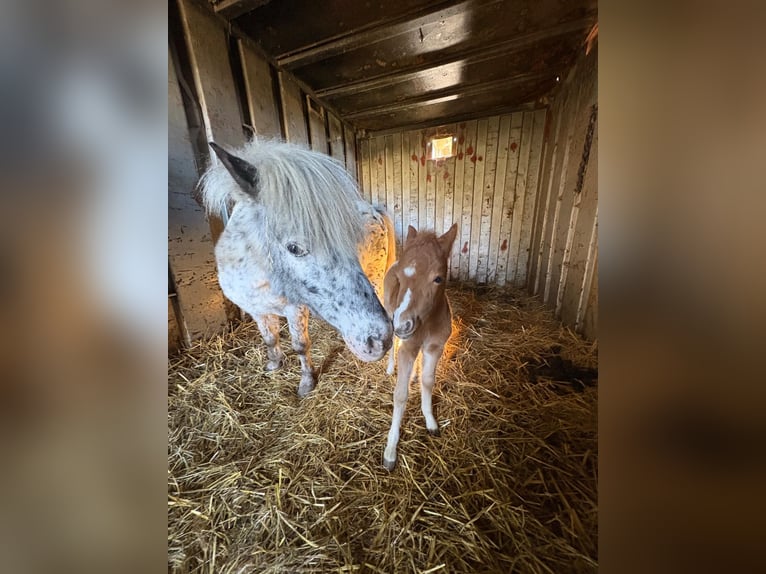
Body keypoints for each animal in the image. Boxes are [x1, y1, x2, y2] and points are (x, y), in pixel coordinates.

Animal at [200, 137, 394, 397]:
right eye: (294, 248)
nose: (379, 341)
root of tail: (374, 210)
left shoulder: (296, 310)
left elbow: (300, 346)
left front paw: (306, 383)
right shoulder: (257, 311)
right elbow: (269, 339)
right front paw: (274, 364)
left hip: (376, 276)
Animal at [382, 223, 458, 470]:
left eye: (438, 278)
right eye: (401, 277)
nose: (404, 324)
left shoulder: (435, 347)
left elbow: (428, 381)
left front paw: (431, 421)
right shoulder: (406, 347)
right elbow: (400, 395)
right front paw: (390, 450)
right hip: (389, 312)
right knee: (392, 343)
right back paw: (390, 367)